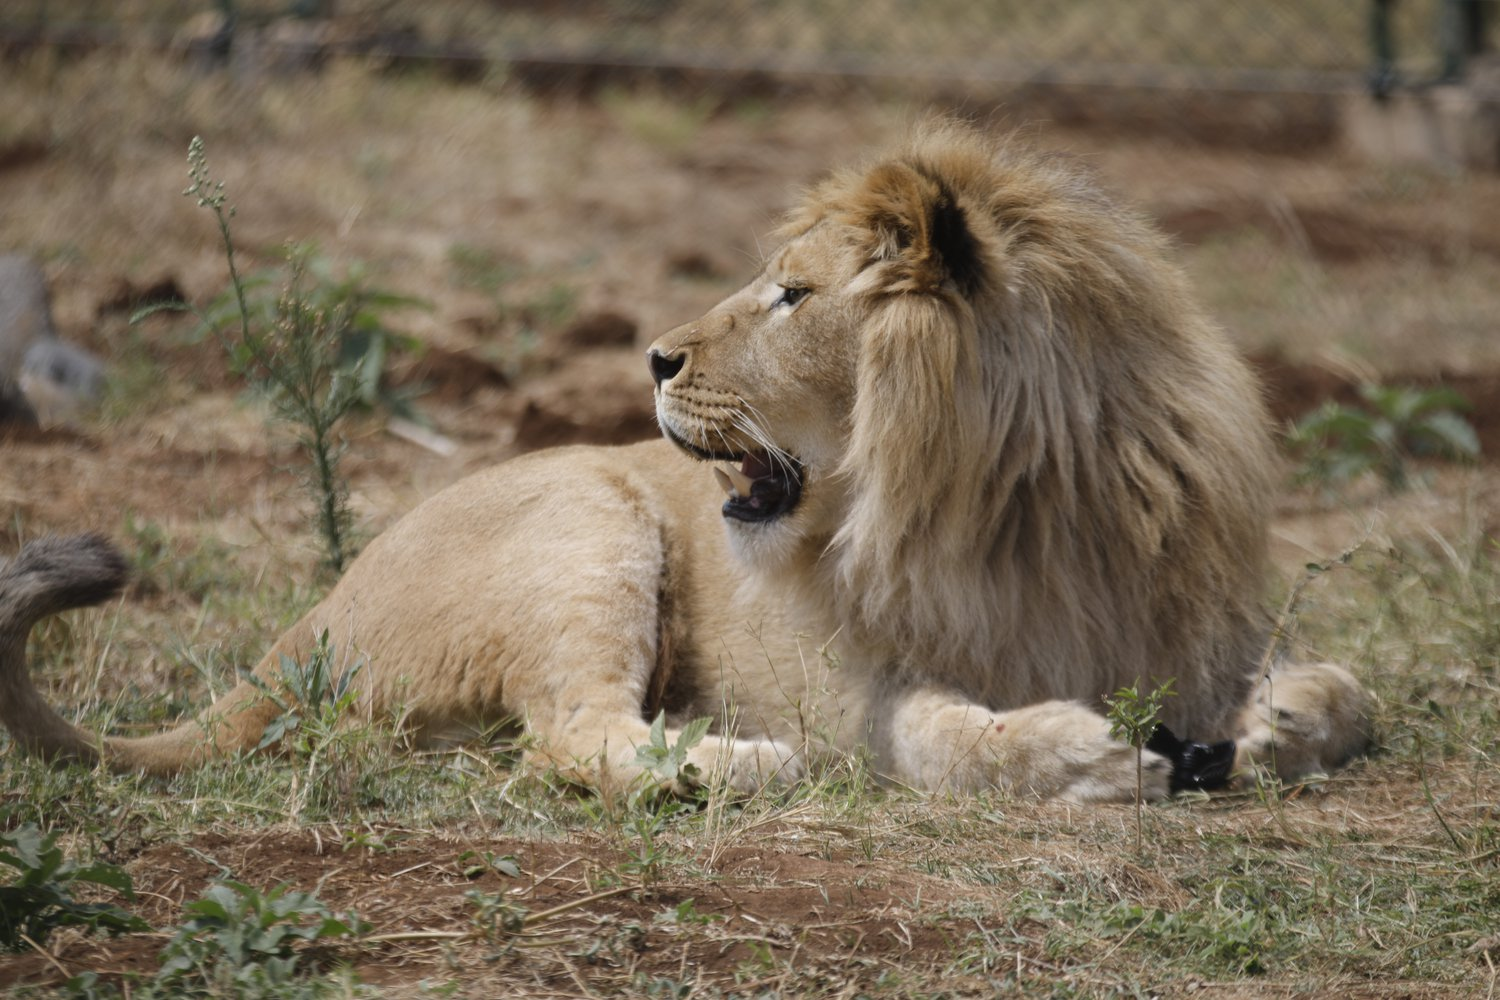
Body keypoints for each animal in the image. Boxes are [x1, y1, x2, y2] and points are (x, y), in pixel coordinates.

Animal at [0, 125, 1374, 803]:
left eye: (792, 294)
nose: (653, 357)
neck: (1022, 505)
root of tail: (304, 628)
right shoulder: (855, 685)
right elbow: (943, 733)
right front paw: (1087, 755)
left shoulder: (1193, 618)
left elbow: (1351, 691)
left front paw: (1281, 718)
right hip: (585, 519)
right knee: (566, 739)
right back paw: (734, 762)